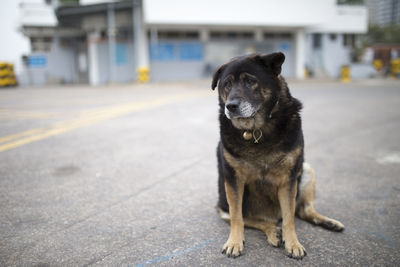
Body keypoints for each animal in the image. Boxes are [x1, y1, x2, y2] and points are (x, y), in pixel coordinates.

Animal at [212, 51, 344, 260]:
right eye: (227, 84)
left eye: (250, 81)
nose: (231, 106)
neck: (256, 130)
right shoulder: (233, 180)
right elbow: (237, 217)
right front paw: (234, 242)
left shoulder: (288, 180)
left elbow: (289, 217)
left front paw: (293, 244)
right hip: (224, 202)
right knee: (252, 219)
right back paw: (273, 231)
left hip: (306, 169)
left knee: (303, 210)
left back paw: (327, 222)